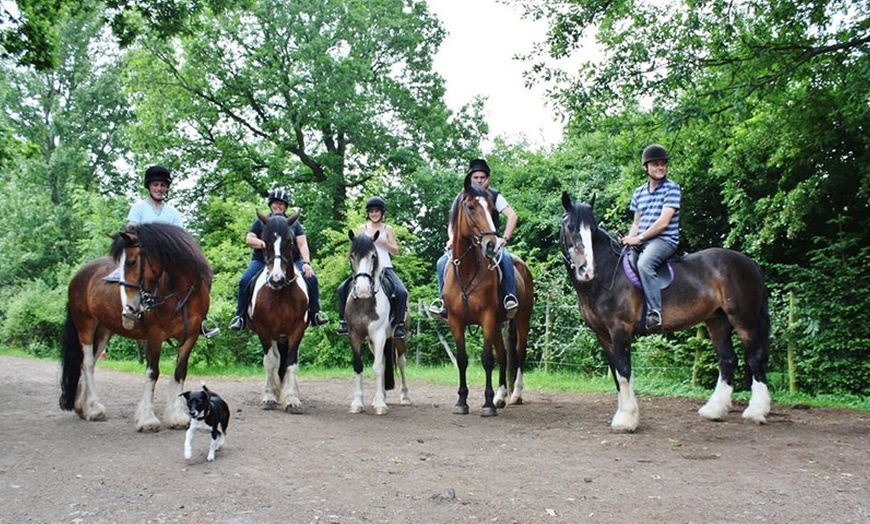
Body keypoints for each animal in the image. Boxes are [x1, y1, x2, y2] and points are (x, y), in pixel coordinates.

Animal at [59, 223, 213, 432]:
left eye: (131, 262)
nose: (130, 308)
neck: (182, 293)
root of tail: (78, 276)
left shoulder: (190, 337)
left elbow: (179, 372)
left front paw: (177, 416)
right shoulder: (155, 336)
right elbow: (152, 373)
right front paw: (147, 419)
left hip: (103, 331)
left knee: (87, 363)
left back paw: (82, 408)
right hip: (86, 326)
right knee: (88, 363)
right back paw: (94, 409)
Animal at [245, 211, 310, 412]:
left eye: (290, 240)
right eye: (264, 241)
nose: (276, 279)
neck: (281, 292)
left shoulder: (297, 330)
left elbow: (291, 363)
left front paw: (292, 399)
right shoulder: (264, 331)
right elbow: (270, 362)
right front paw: (269, 397)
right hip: (274, 336)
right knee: (274, 360)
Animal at [344, 229, 412, 414]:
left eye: (373, 256)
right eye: (352, 255)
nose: (362, 289)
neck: (364, 302)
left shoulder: (379, 335)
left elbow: (377, 368)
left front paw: (381, 405)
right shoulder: (355, 336)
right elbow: (359, 366)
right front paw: (358, 403)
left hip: (399, 339)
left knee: (401, 363)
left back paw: (404, 397)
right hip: (372, 343)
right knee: (382, 362)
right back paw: (378, 397)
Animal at [446, 174, 536, 416]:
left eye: (491, 208)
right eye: (470, 206)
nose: (491, 244)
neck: (467, 271)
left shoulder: (486, 318)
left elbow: (487, 359)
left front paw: (487, 404)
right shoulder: (456, 321)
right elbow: (462, 359)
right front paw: (461, 401)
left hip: (522, 319)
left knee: (519, 353)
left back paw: (515, 395)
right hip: (497, 324)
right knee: (504, 354)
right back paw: (501, 397)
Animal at [564, 191, 772, 430]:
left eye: (592, 229)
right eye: (570, 227)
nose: (585, 270)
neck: (606, 274)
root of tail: (749, 263)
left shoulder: (620, 330)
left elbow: (624, 371)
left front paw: (626, 420)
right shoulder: (603, 335)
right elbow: (617, 375)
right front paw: (623, 415)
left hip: (744, 320)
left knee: (755, 359)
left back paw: (756, 412)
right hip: (718, 321)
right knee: (728, 360)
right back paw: (713, 410)